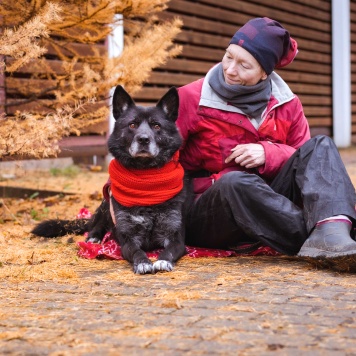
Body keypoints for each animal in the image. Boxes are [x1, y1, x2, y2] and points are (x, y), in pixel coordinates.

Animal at [32, 85, 191, 276]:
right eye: (132, 125)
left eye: (156, 125)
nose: (143, 139)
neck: (146, 180)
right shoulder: (128, 239)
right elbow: (136, 251)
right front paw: (143, 263)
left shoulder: (176, 238)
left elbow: (169, 250)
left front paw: (162, 260)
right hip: (105, 205)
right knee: (96, 226)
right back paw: (93, 238)